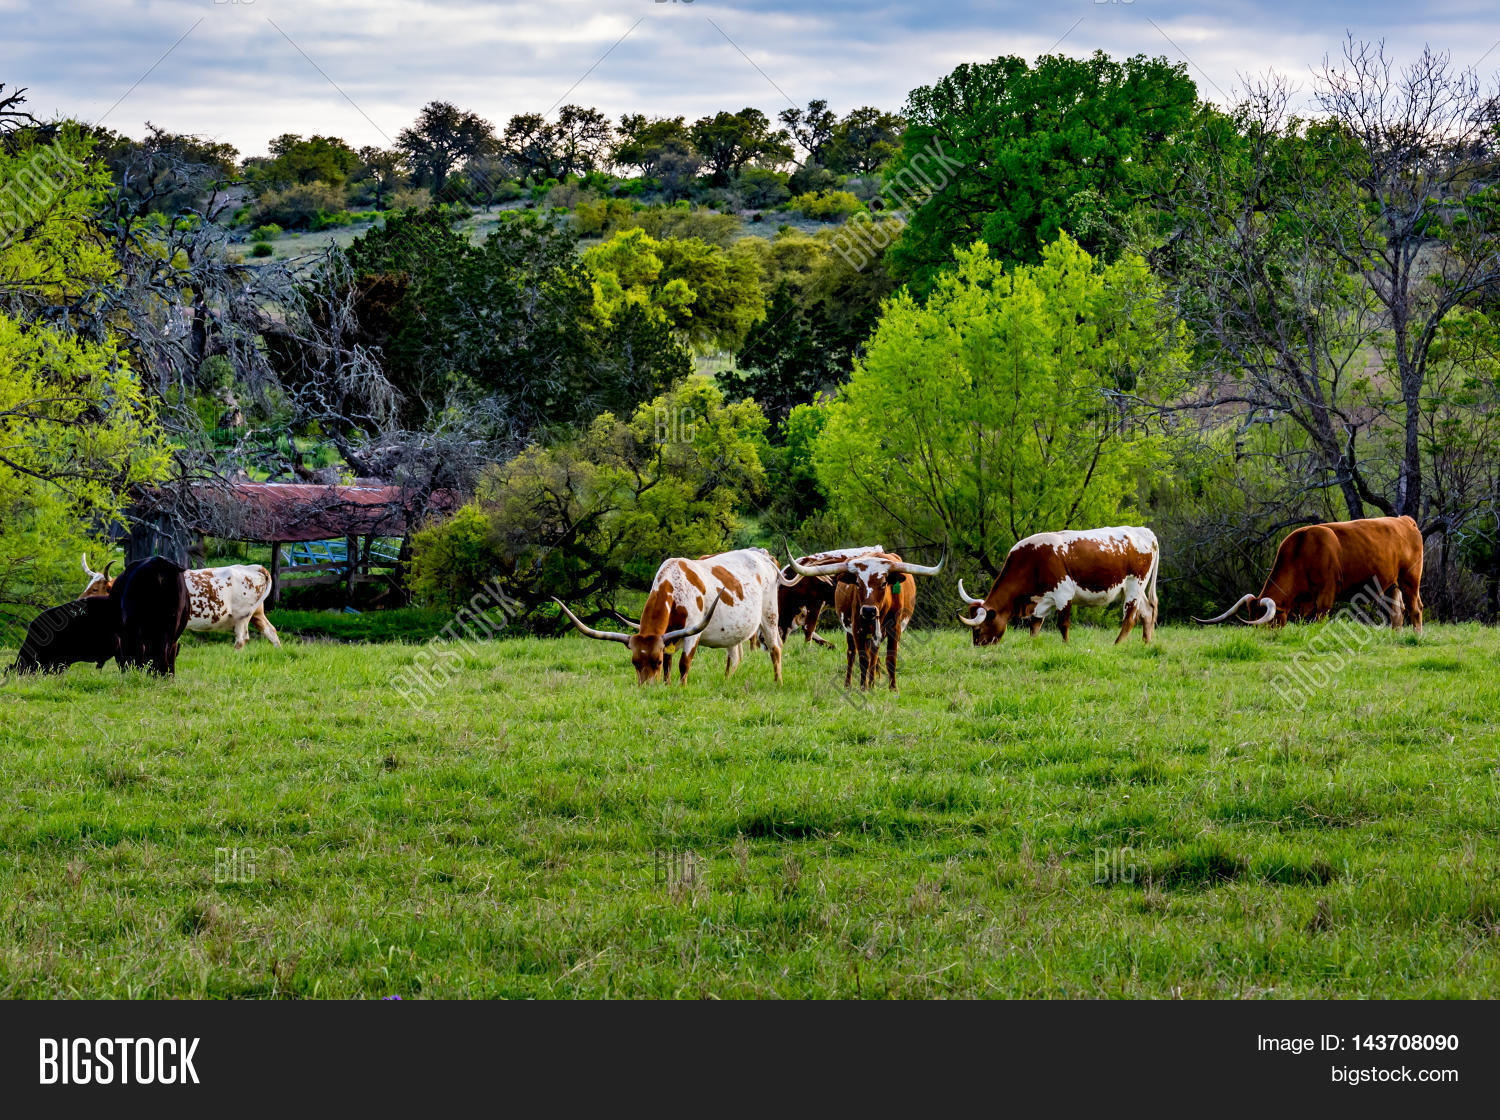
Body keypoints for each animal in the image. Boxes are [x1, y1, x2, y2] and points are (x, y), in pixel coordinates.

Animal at [82, 554, 280, 650]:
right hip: (257, 614)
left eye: (95, 589)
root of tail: (253, 567)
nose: (80, 600)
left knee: (242, 639)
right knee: (271, 632)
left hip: (242, 617)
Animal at [555, 547, 785, 685]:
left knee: (775, 648)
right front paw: (665, 685)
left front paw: (681, 688)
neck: (674, 584)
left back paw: (778, 682)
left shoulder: (693, 632)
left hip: (770, 614)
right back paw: (726, 682)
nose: (647, 688)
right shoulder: (669, 637)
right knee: (734, 656)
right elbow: (669, 665)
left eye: (654, 662)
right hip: (733, 632)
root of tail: (761, 553)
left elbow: (683, 663)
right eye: (634, 662)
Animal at [784, 546, 945, 691]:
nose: (868, 610)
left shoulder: (895, 629)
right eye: (858, 583)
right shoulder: (858, 629)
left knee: (874, 656)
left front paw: (892, 688)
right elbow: (863, 659)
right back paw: (849, 684)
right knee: (852, 654)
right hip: (851, 631)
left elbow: (890, 658)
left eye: (884, 583)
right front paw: (863, 687)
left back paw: (872, 684)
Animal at [956, 526, 1160, 646]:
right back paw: (1146, 642)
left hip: (1134, 586)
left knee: (1130, 617)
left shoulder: (1063, 593)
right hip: (1134, 589)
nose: (978, 646)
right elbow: (1035, 625)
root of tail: (1145, 531)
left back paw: (1117, 644)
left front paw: (1066, 645)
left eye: (978, 629)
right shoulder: (1040, 601)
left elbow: (1063, 624)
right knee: (1147, 611)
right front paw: (1031, 643)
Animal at [1193, 515, 1423, 633]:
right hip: (1391, 584)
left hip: (1410, 579)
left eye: (1268, 622)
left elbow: (1319, 619)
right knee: (1397, 612)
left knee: (1415, 608)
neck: (1301, 551)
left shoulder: (1325, 595)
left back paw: (1417, 637)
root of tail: (1404, 519)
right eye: (1251, 616)